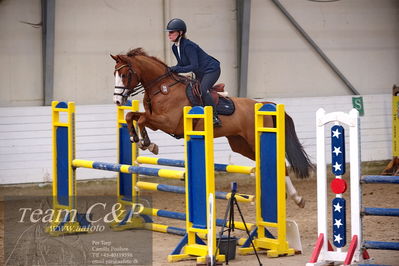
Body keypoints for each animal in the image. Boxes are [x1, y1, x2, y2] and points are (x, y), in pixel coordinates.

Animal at [111, 48, 314, 208]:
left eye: (124, 75)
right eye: (115, 74)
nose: (117, 101)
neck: (162, 87)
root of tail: (264, 104)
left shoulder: (168, 121)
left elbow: (142, 119)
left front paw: (148, 144)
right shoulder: (156, 121)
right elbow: (132, 116)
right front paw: (137, 140)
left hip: (254, 140)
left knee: (281, 163)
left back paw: (297, 198)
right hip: (240, 145)